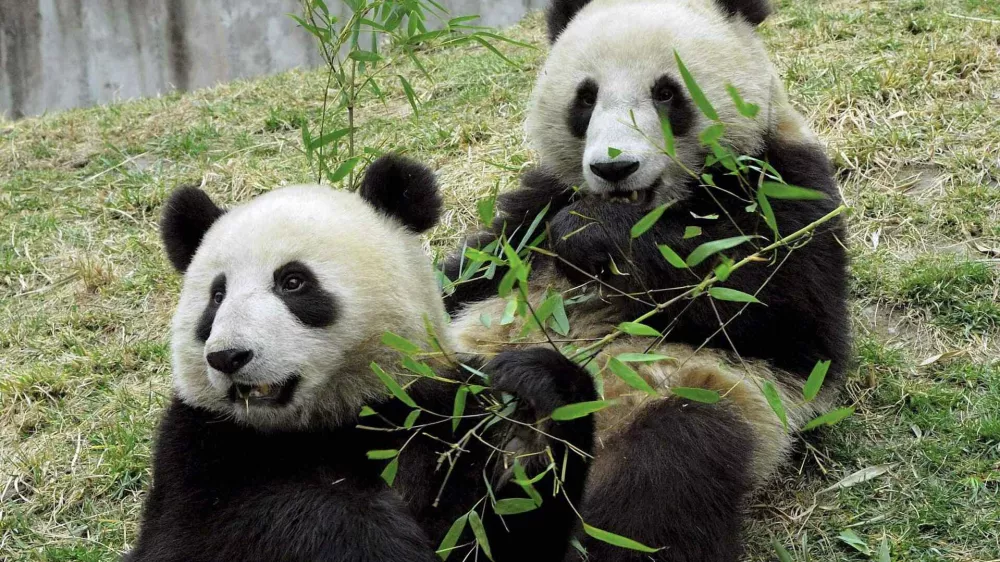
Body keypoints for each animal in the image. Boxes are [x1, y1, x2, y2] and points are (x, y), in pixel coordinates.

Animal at [126, 155, 599, 562]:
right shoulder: (201, 452)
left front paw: (535, 414)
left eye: (293, 281)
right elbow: (251, 525)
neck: (334, 418)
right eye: (217, 296)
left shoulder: (435, 416)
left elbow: (494, 533)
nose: (228, 356)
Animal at [441, 0, 851, 560]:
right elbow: (466, 272)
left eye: (666, 92)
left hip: (691, 400)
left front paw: (589, 232)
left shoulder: (787, 184)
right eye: (586, 97)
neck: (656, 207)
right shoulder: (533, 211)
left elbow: (788, 314)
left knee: (658, 487)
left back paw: (552, 401)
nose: (614, 168)